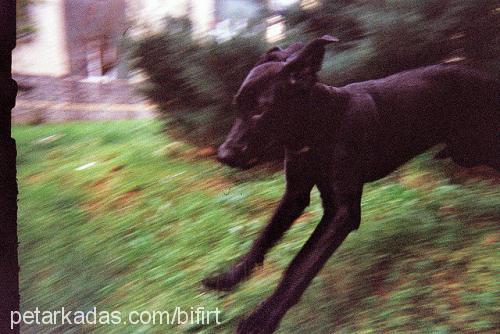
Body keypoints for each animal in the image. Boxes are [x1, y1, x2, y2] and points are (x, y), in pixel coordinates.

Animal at [201, 35, 498, 332]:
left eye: (261, 110)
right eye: (237, 105)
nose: (223, 155)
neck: (321, 127)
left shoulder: (343, 213)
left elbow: (300, 267)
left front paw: (263, 318)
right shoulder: (298, 196)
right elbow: (266, 241)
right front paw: (228, 278)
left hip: (478, 147)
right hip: (466, 152)